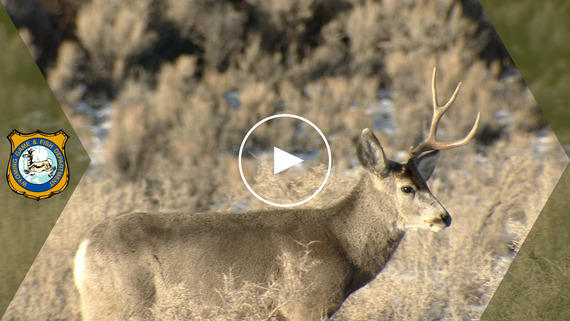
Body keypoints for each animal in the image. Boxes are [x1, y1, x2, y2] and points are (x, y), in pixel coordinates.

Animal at [73, 68, 478, 320]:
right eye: (407, 188)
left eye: (428, 183)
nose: (444, 217)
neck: (344, 245)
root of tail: (83, 250)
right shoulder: (304, 303)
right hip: (119, 302)